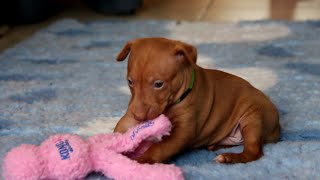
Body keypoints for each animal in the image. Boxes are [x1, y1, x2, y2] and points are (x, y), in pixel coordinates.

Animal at [114, 37, 280, 164]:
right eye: (130, 81)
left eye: (158, 84)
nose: (139, 116)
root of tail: (277, 128)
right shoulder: (132, 111)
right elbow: (121, 127)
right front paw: (113, 143)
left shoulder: (183, 130)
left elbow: (160, 147)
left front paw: (143, 159)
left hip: (253, 116)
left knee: (253, 151)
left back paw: (228, 158)